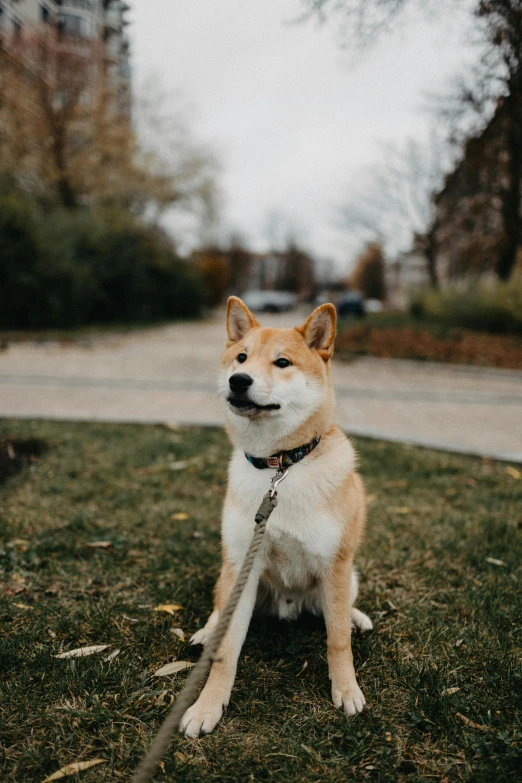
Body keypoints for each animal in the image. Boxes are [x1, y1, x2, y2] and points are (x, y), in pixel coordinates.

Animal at [179, 298, 370, 740]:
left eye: (282, 362)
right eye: (241, 357)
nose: (238, 380)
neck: (280, 468)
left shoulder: (335, 566)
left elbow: (337, 641)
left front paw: (346, 689)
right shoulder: (243, 565)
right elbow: (226, 652)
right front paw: (208, 706)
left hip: (347, 575)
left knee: (342, 609)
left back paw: (356, 616)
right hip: (231, 573)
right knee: (219, 609)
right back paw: (206, 629)